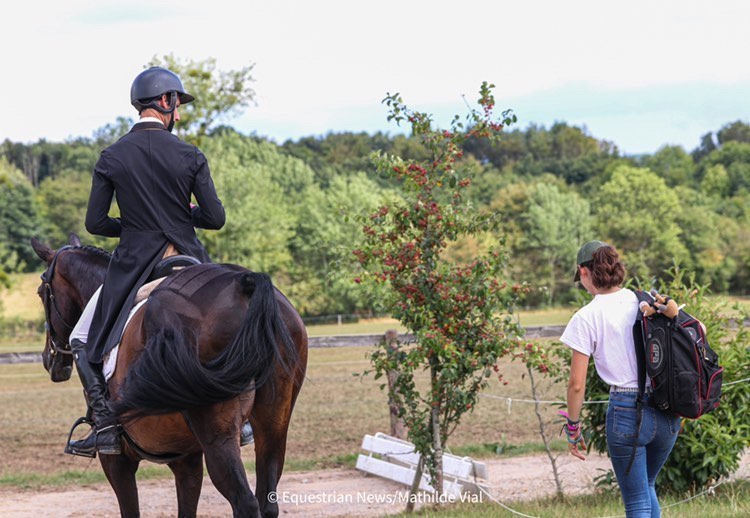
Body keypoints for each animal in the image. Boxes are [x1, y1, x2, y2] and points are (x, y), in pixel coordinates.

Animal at [29, 237, 306, 518]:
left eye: (41, 292)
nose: (48, 359)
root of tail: (244, 286)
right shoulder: (186, 459)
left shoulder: (117, 461)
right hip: (273, 424)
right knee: (267, 500)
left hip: (218, 435)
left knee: (246, 503)